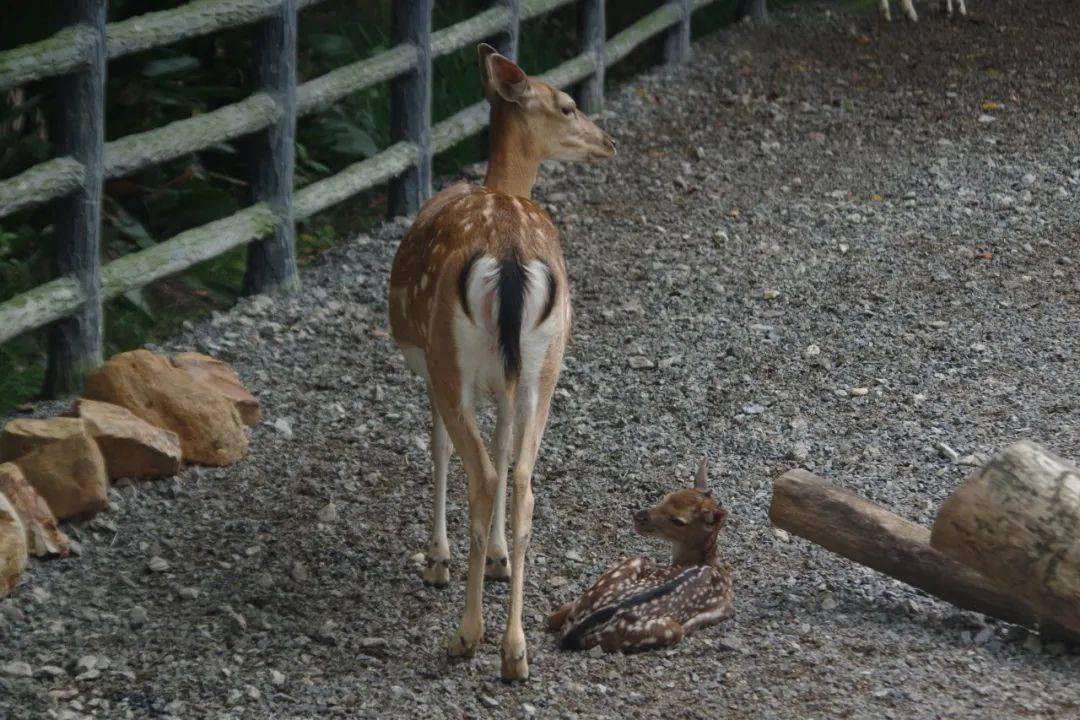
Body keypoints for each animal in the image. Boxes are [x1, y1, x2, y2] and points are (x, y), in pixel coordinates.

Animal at [386, 45, 617, 682]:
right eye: (567, 104)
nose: (607, 142)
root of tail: (511, 255)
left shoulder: (432, 367)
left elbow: (438, 448)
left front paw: (436, 561)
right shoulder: (511, 381)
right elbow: (505, 443)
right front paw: (497, 560)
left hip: (450, 353)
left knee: (485, 475)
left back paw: (467, 635)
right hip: (547, 365)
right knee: (522, 478)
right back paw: (516, 650)